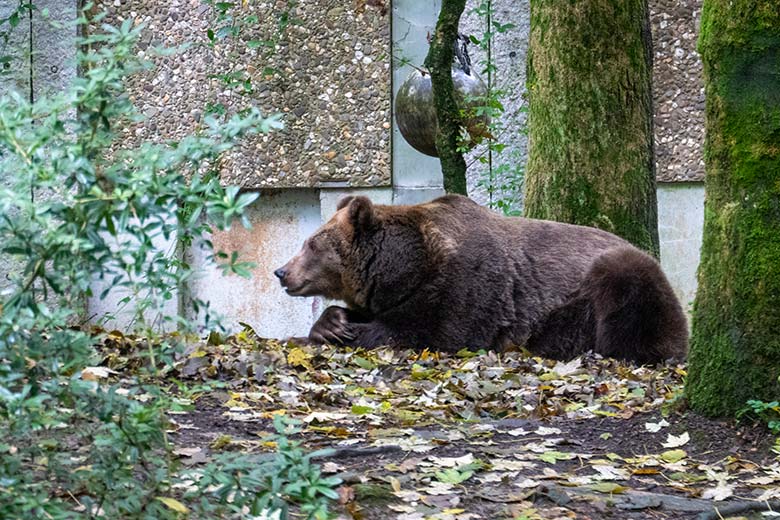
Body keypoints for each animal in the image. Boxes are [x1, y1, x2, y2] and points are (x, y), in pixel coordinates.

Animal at [274, 193, 688, 364]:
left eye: (310, 243)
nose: (281, 272)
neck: (408, 269)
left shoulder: (462, 287)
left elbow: (425, 332)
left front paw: (351, 332)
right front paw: (333, 323)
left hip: (619, 276)